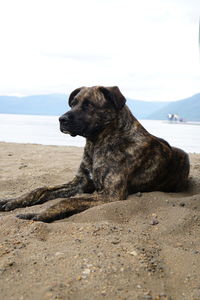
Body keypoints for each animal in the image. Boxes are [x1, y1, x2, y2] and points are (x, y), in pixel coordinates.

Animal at [0, 85, 190, 221]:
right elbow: (40, 189)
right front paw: (11, 201)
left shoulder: (110, 195)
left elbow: (68, 200)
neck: (96, 143)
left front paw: (38, 214)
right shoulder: (80, 182)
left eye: (89, 104)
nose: (61, 119)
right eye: (73, 103)